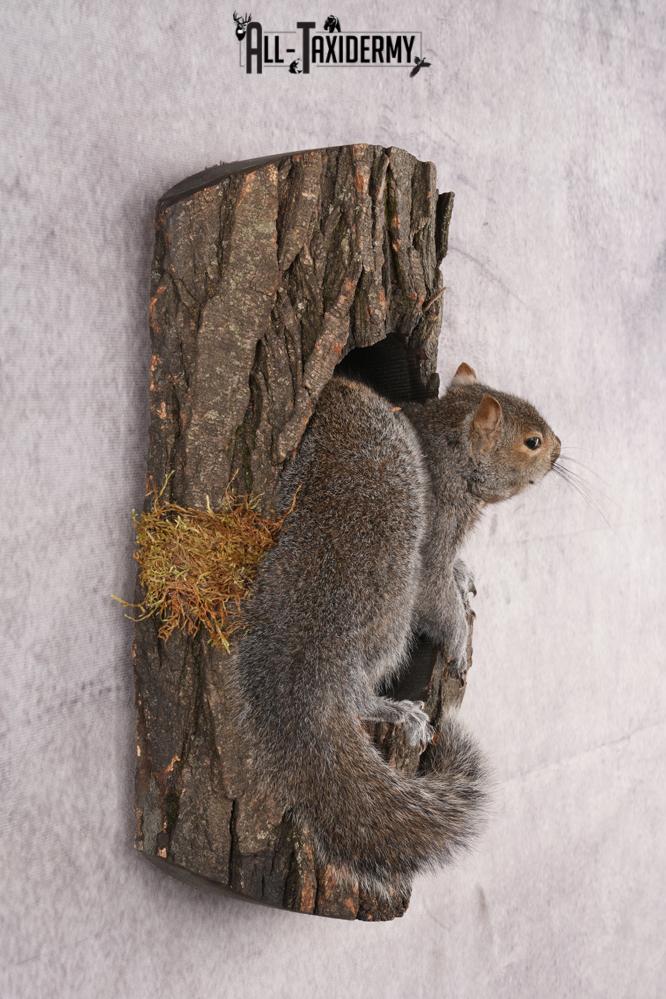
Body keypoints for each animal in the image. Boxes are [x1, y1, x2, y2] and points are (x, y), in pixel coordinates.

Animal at [232, 361, 561, 894]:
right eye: (531, 441)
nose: (558, 450)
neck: (450, 443)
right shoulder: (437, 528)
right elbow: (436, 595)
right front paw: (459, 641)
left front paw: (464, 575)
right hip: (386, 622)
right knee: (355, 690)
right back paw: (394, 710)